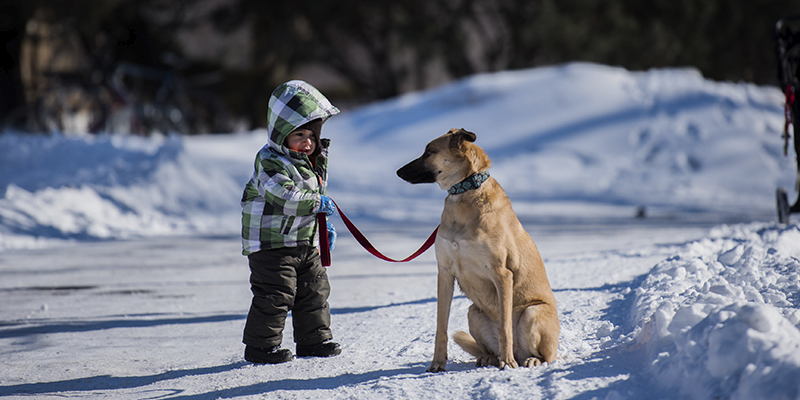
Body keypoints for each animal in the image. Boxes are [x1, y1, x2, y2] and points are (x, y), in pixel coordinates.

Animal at [396, 127, 560, 372]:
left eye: (429, 152)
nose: (398, 172)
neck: (465, 192)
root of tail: (521, 353)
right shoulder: (445, 273)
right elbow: (441, 326)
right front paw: (437, 363)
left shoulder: (502, 274)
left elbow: (504, 327)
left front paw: (507, 363)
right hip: (474, 312)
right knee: (488, 345)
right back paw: (489, 358)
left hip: (533, 312)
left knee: (547, 355)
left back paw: (527, 359)